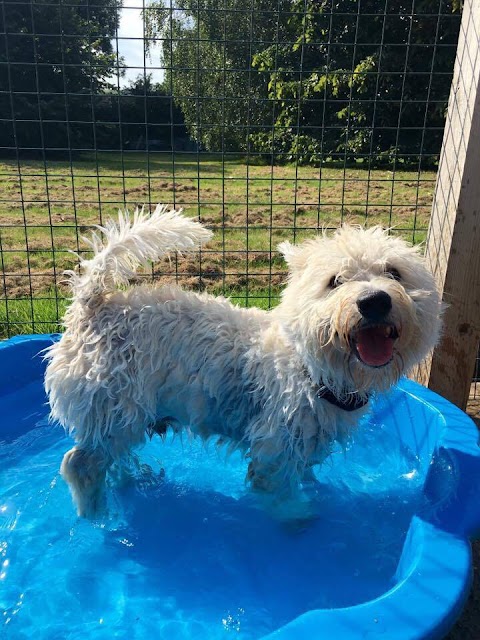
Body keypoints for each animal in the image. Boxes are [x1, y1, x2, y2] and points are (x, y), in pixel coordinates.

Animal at [45, 208, 442, 516]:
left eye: (394, 272)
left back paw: (132, 482)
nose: (374, 301)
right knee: (81, 463)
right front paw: (301, 521)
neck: (311, 367)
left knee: (108, 461)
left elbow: (306, 475)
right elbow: (283, 497)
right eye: (335, 281)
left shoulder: (307, 443)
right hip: (115, 408)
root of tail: (93, 307)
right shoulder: (275, 450)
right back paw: (97, 514)